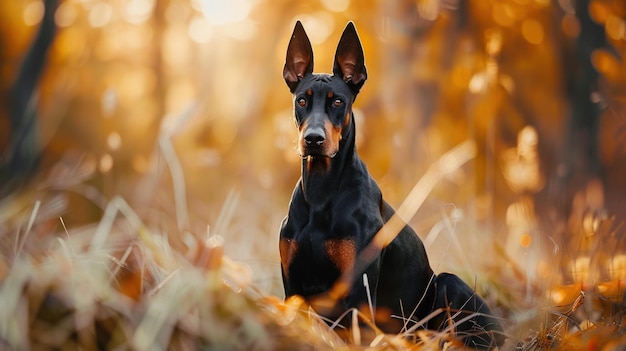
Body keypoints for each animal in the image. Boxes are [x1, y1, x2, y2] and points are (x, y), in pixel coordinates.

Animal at [278, 22, 502, 350]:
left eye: (338, 101)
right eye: (301, 101)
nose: (314, 140)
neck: (321, 191)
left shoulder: (358, 287)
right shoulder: (292, 286)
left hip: (447, 284)